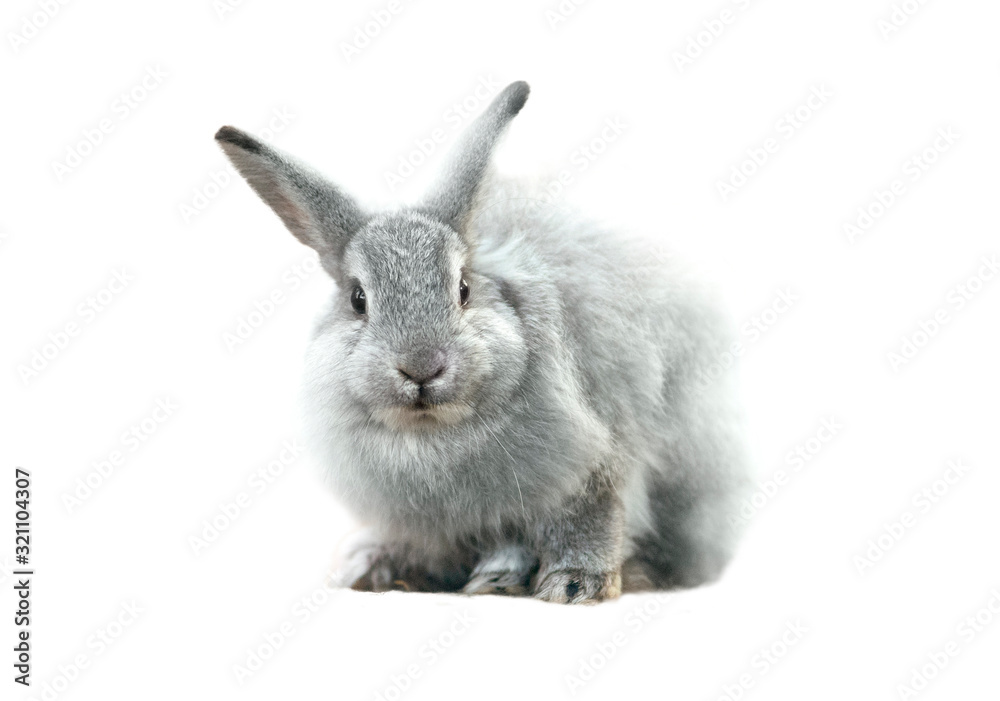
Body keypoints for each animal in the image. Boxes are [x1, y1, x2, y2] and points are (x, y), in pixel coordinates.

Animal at [216, 80, 748, 604]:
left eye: (464, 289)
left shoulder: (593, 460)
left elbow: (588, 521)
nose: (422, 367)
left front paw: (573, 585)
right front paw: (475, 577)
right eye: (358, 299)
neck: (432, 433)